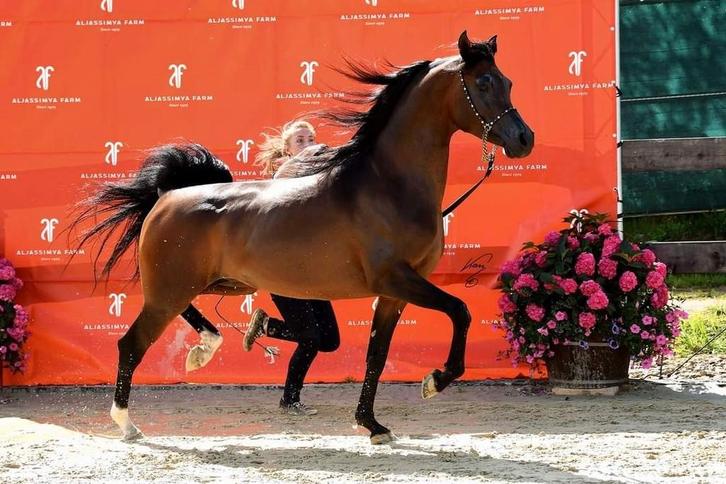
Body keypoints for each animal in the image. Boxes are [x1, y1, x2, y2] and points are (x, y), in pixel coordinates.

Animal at [70, 31, 534, 444]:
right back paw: (128, 424)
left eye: (509, 81)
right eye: (484, 82)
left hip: (210, 286)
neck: (388, 186)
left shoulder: (394, 294)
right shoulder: (398, 279)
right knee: (131, 344)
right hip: (169, 291)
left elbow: (376, 355)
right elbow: (460, 311)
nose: (524, 139)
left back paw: (206, 347)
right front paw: (435, 381)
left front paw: (372, 425)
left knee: (189, 317)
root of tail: (164, 198)